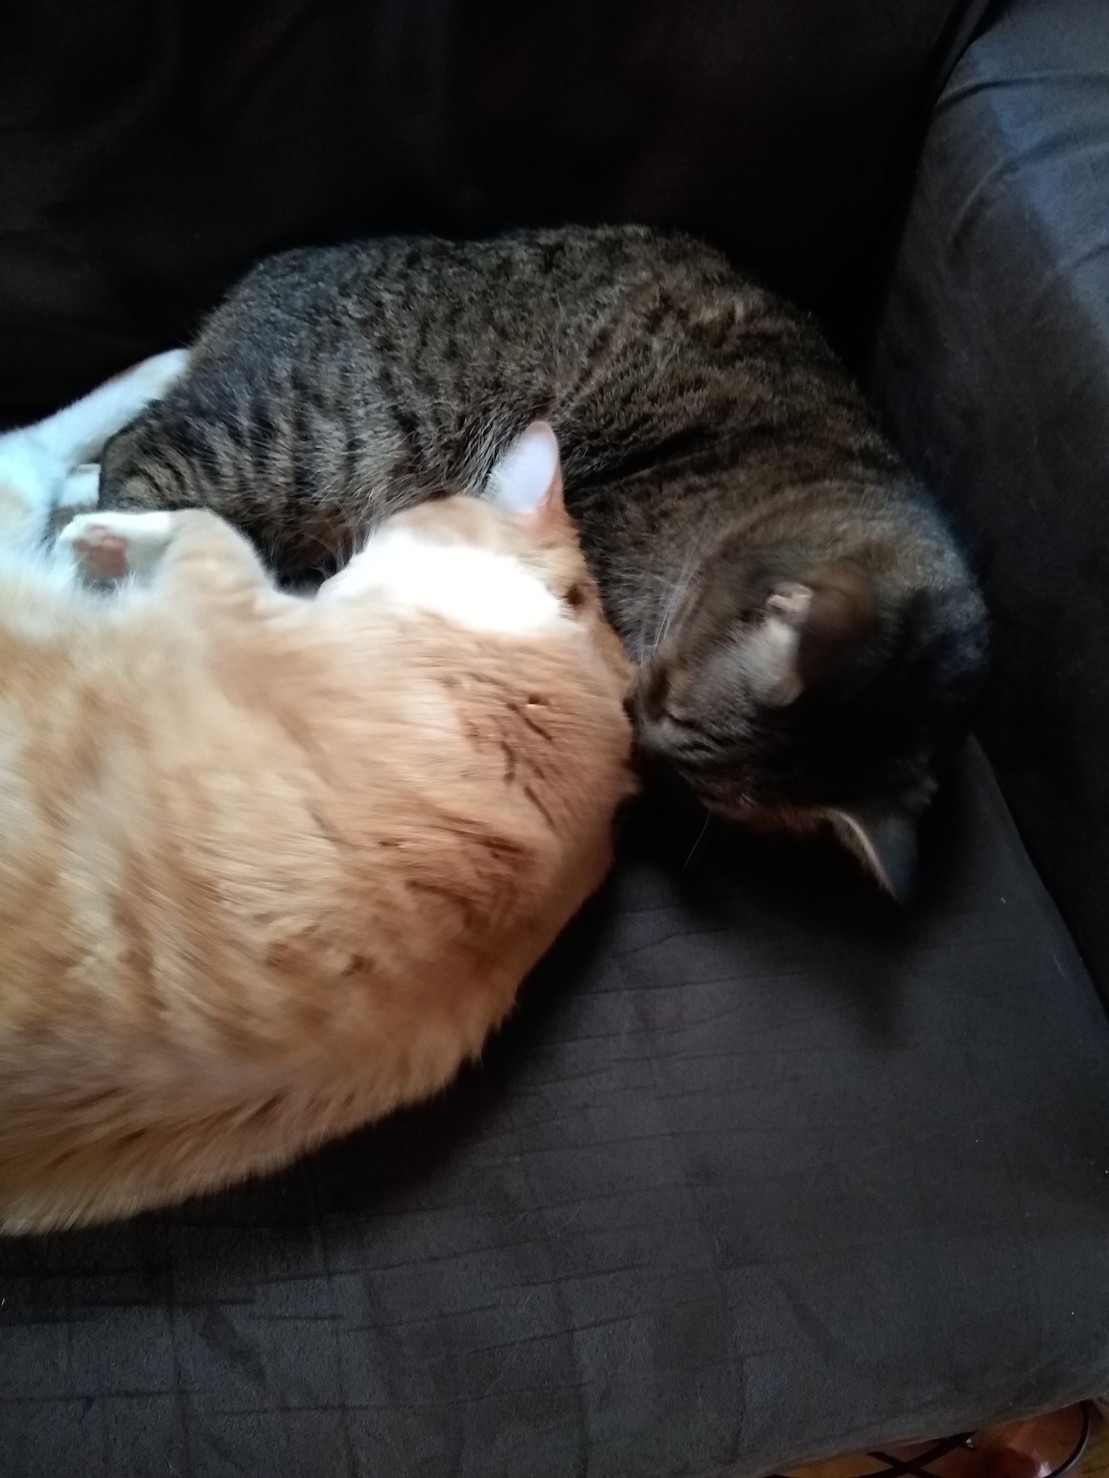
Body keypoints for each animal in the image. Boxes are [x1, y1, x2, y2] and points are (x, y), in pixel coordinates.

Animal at [0, 359, 634, 1232]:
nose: (358, 542)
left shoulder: (238, 603)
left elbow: (206, 529)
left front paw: (110, 537)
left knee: (22, 458)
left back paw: (148, 389)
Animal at [95, 225, 987, 900]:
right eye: (656, 690)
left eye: (695, 782)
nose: (637, 728)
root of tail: (254, 284)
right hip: (309, 441)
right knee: (131, 451)